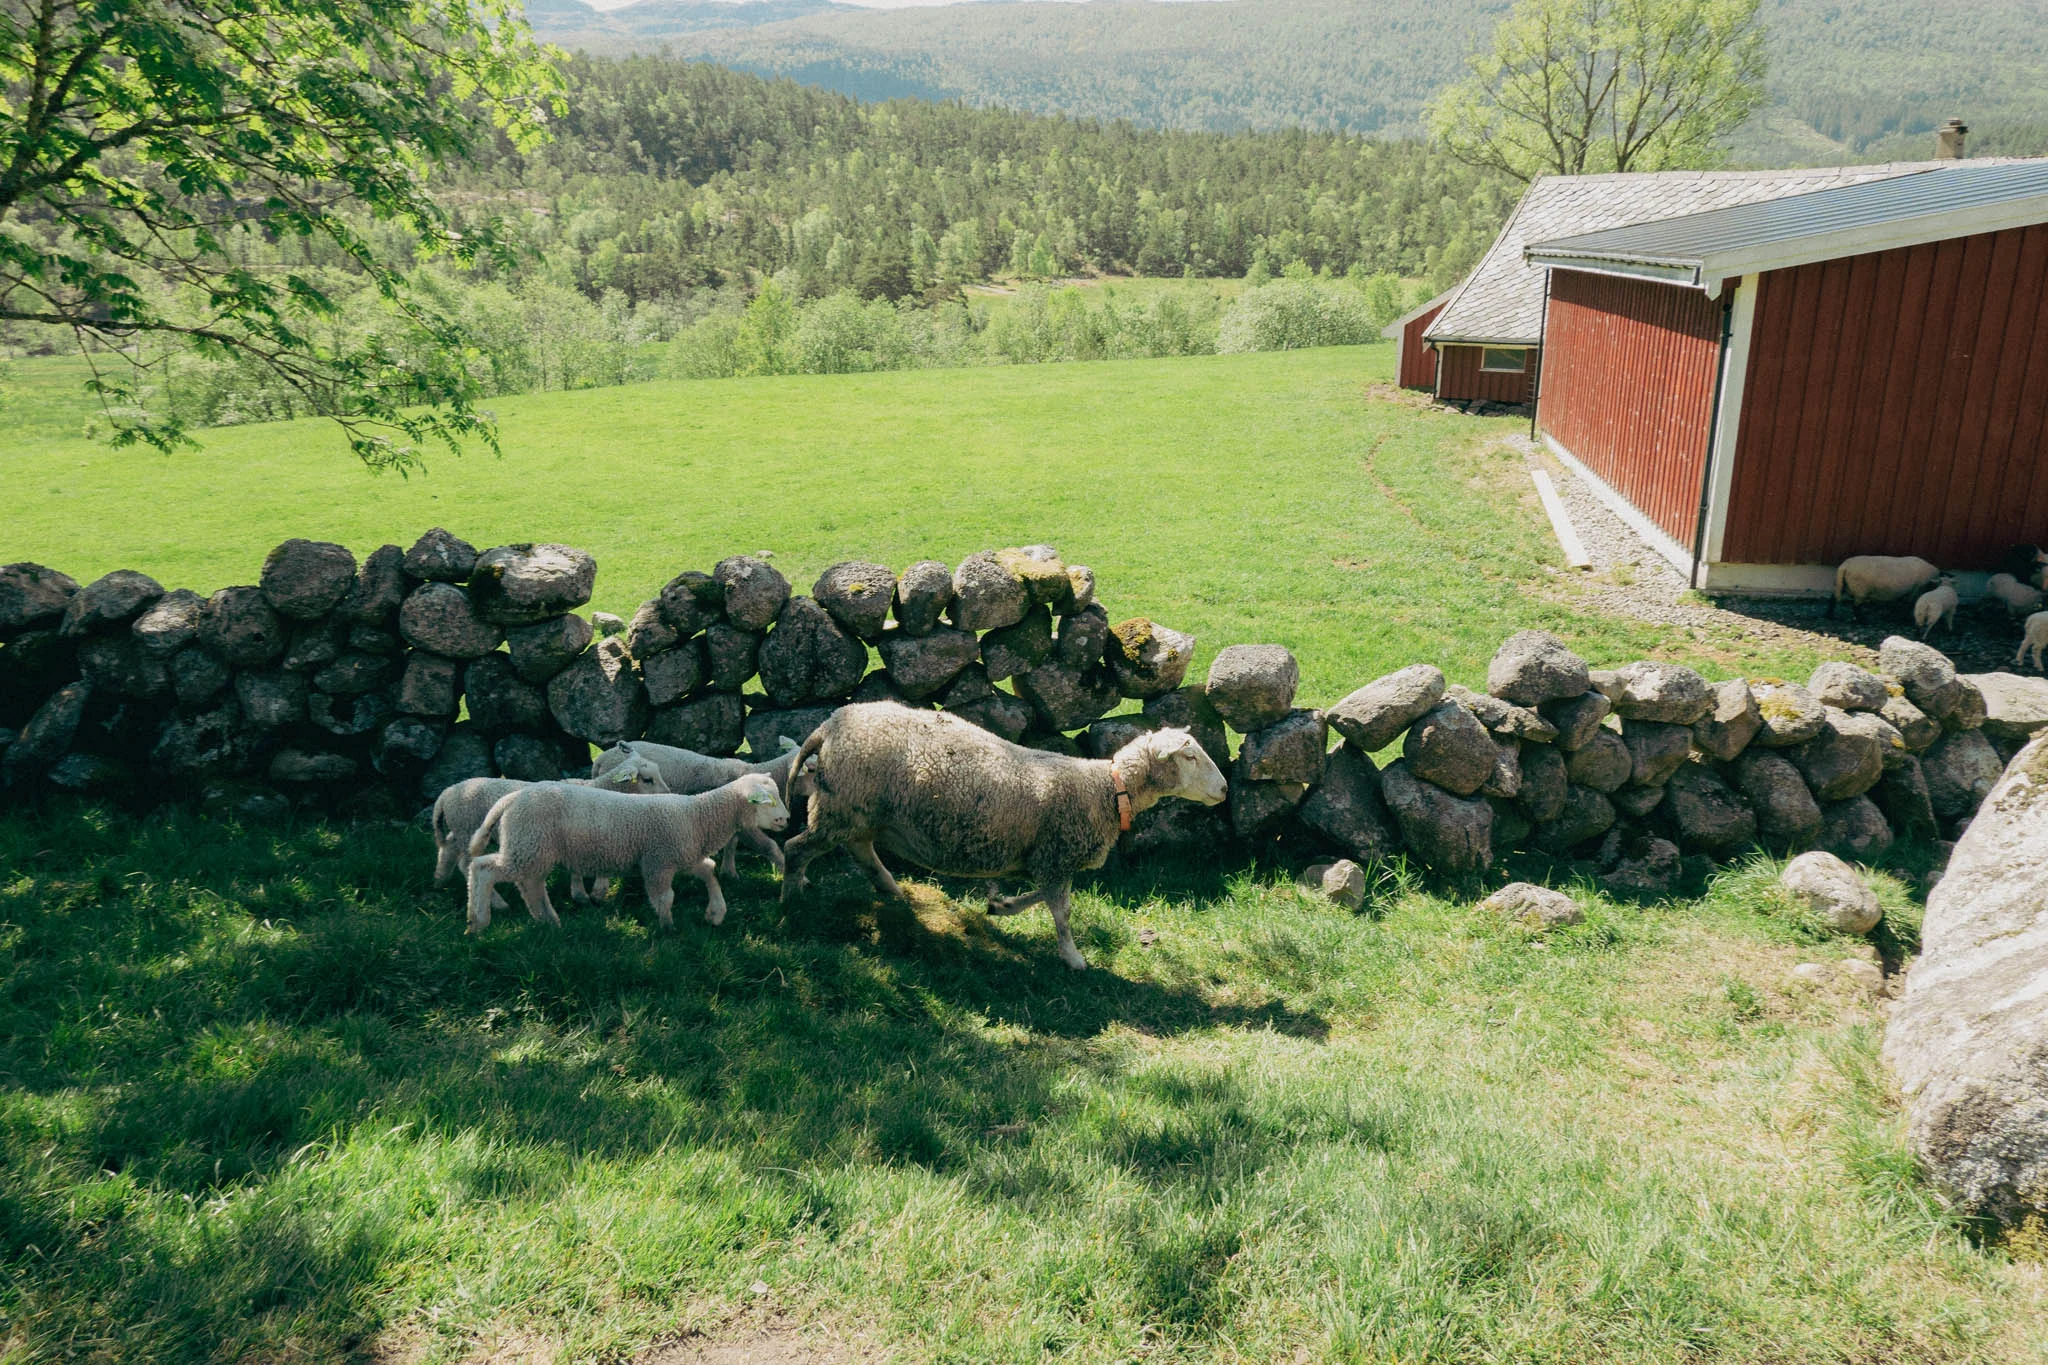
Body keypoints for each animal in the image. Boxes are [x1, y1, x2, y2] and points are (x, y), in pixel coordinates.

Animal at [431, 755, 670, 910]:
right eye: (647, 779)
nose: (670, 795)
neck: (602, 789)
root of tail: (447, 792)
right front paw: (588, 895)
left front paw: (583, 895)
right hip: (467, 827)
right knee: (466, 864)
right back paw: (498, 903)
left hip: (461, 831)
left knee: (448, 849)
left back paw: (439, 881)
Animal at [464, 772, 789, 934]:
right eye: (769, 800)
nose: (786, 819)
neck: (697, 816)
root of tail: (512, 798)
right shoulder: (658, 862)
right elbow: (665, 897)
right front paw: (667, 927)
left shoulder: (680, 856)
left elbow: (708, 870)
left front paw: (715, 913)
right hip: (528, 847)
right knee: (483, 868)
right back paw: (478, 921)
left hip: (532, 849)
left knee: (530, 886)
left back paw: (549, 922)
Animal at [778, 701, 1228, 971]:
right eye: (1190, 756)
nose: (1224, 790)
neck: (1104, 789)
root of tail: (830, 724)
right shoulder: (1055, 857)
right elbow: (1062, 913)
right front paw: (1073, 959)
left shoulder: (1046, 859)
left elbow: (1041, 898)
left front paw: (1002, 905)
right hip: (842, 806)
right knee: (795, 849)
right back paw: (791, 900)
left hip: (857, 811)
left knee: (859, 849)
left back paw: (890, 890)